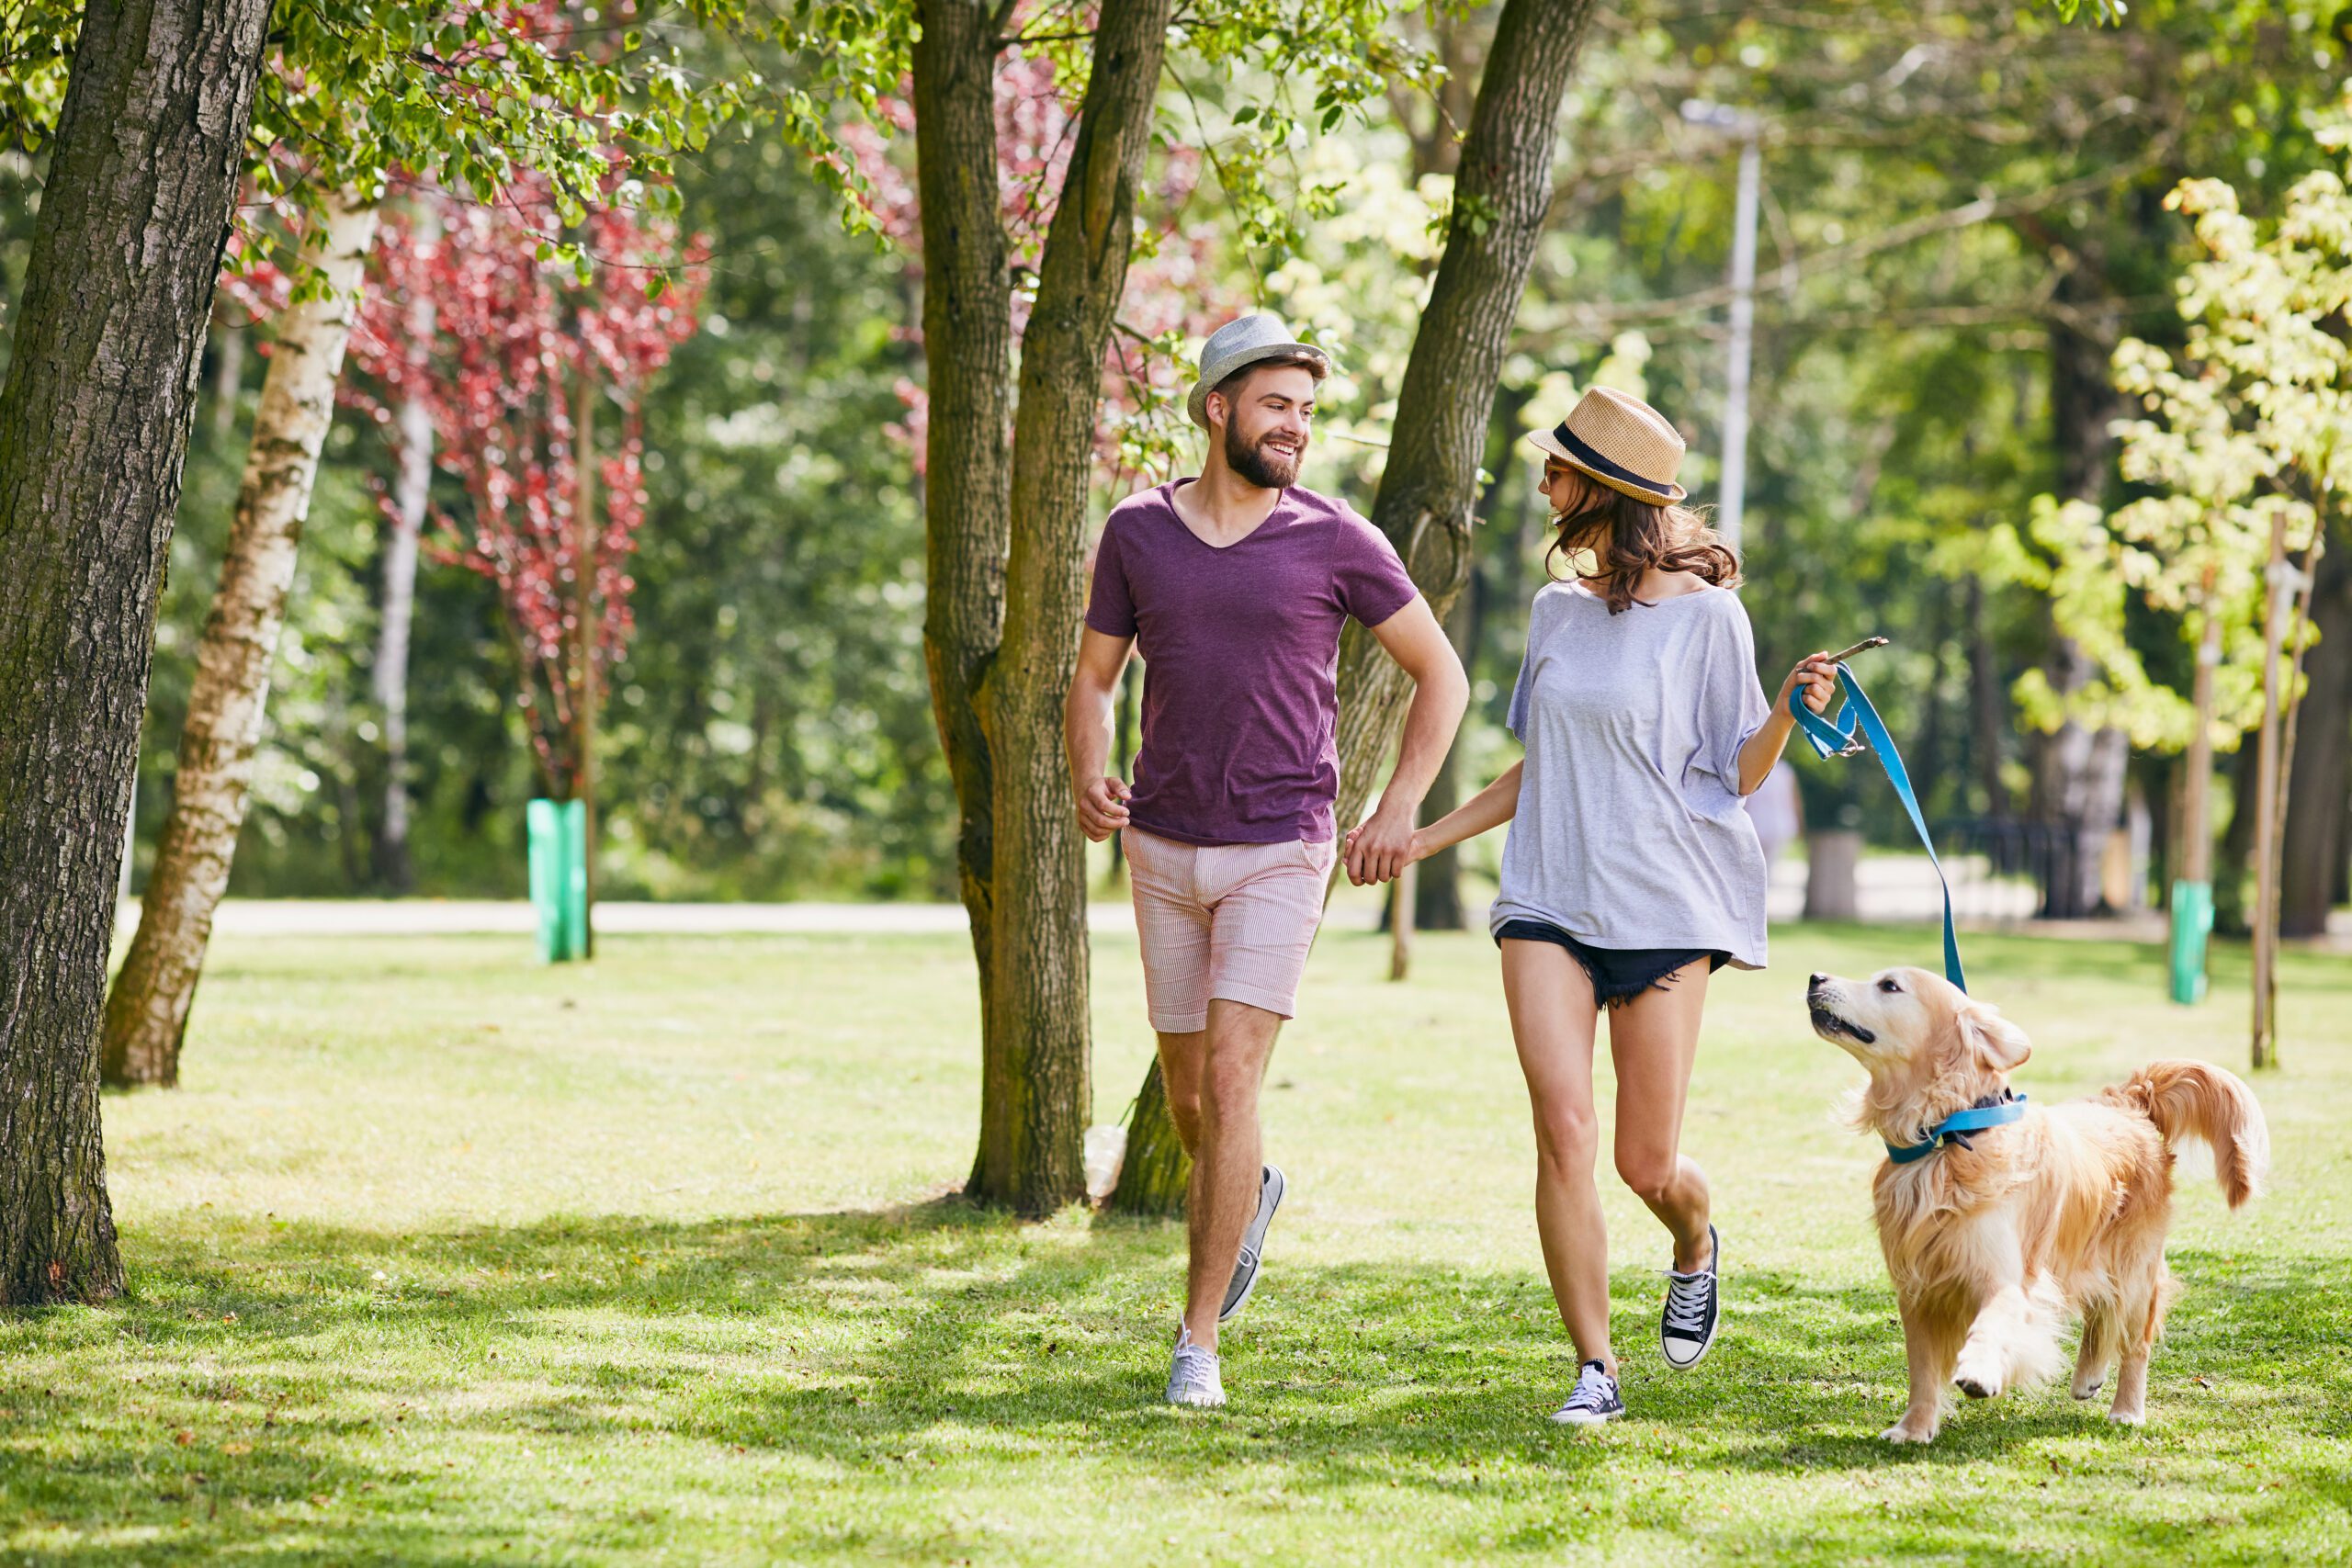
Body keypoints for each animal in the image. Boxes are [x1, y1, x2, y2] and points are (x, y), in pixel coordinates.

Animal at [1796, 968, 2257, 1448]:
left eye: (1889, 985)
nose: (1815, 976)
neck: (1948, 1134)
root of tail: (2129, 1100)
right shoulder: (1917, 1289)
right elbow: (1921, 1370)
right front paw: (1914, 1427)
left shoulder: (2006, 1274)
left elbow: (1993, 1322)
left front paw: (1979, 1370)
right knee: (2099, 1310)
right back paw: (2087, 1376)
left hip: (2134, 1265)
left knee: (2135, 1339)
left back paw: (2127, 1409)